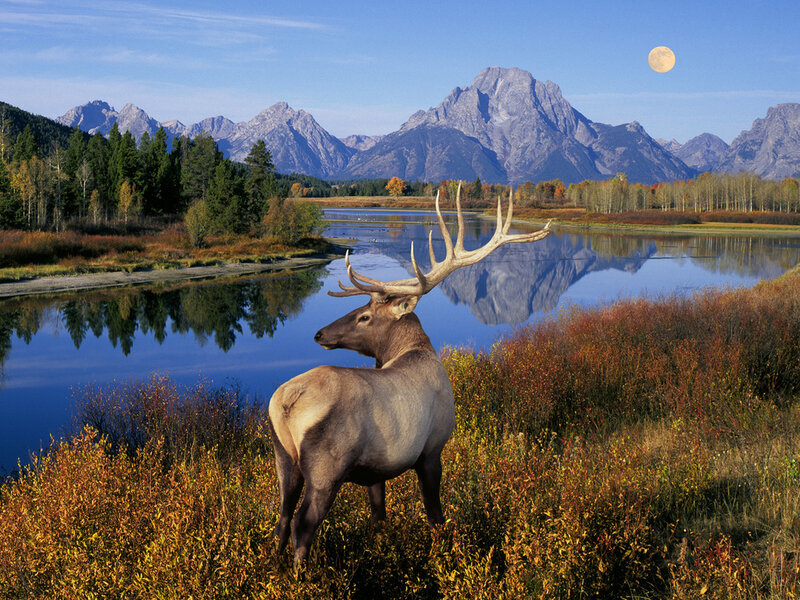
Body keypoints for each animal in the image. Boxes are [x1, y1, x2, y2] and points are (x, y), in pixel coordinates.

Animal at [268, 183, 552, 567]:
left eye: (364, 316)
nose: (319, 334)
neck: (415, 350)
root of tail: (286, 402)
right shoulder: (432, 448)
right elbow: (435, 514)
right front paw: (443, 551)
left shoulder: (375, 470)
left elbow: (379, 516)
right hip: (327, 467)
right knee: (303, 523)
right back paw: (302, 574)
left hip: (284, 458)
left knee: (282, 518)